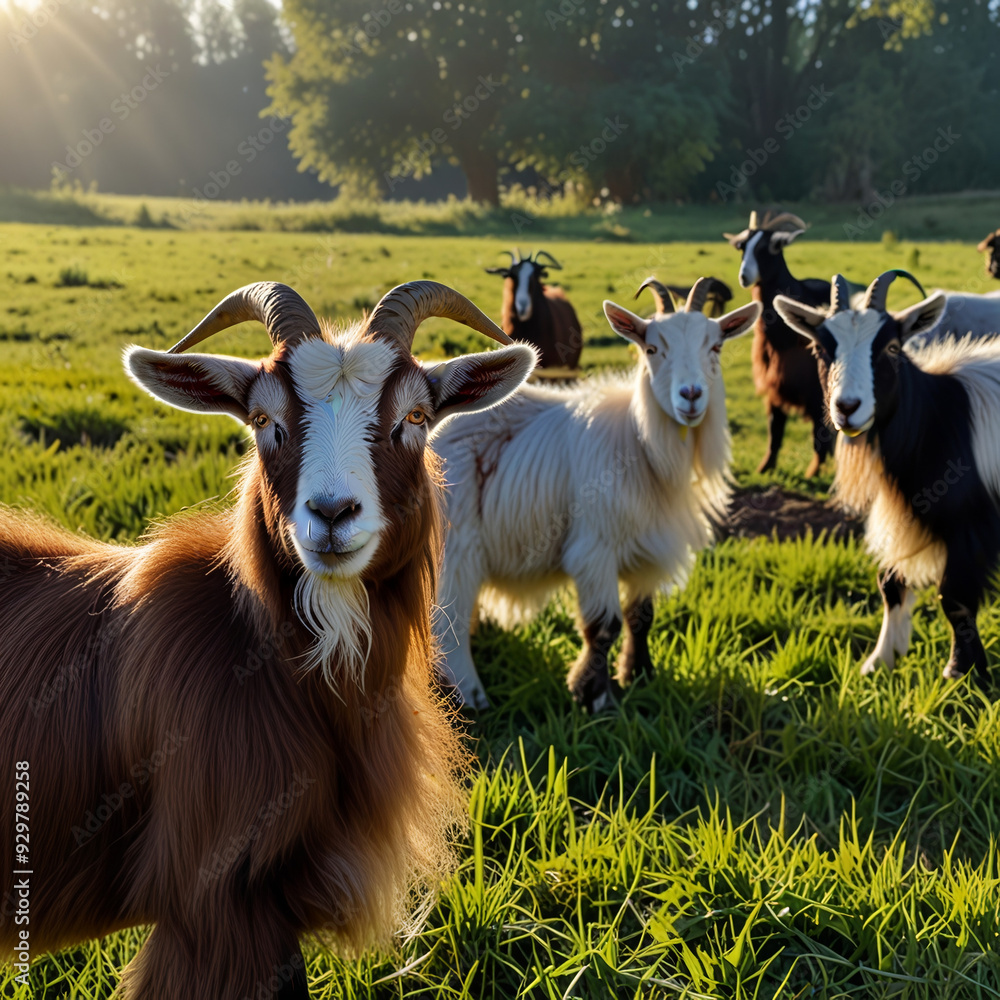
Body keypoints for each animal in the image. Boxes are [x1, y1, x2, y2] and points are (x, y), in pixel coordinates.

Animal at [432, 278, 760, 711]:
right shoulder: (595, 548)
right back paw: (468, 693)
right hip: (456, 542)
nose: (690, 395)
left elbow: (641, 617)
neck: (640, 444)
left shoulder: (647, 548)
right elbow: (604, 626)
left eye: (716, 346)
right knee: (447, 619)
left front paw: (639, 676)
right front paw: (596, 697)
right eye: (652, 348)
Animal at [725, 209, 865, 477]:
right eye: (742, 247)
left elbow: (819, 435)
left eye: (769, 248)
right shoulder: (774, 385)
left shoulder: (816, 389)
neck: (781, 339)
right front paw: (765, 467)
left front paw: (813, 472)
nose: (744, 276)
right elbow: (775, 430)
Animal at [775, 269, 1000, 686]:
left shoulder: (973, 523)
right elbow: (889, 581)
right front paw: (881, 660)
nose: (847, 408)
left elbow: (955, 596)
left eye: (893, 347)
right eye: (820, 349)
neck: (938, 419)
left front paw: (962, 672)